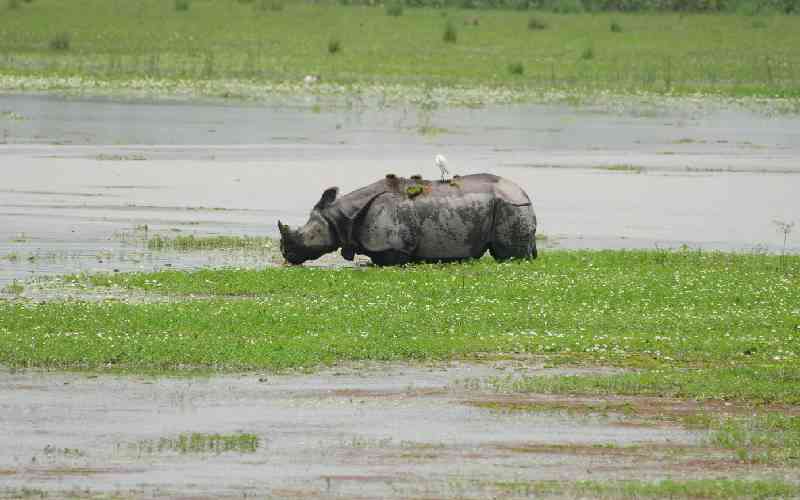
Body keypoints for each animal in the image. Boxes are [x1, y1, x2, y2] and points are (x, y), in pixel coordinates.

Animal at [278, 173, 537, 266]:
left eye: (301, 237)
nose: (286, 254)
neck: (340, 217)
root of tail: (524, 193)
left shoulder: (393, 245)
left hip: (510, 206)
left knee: (507, 253)